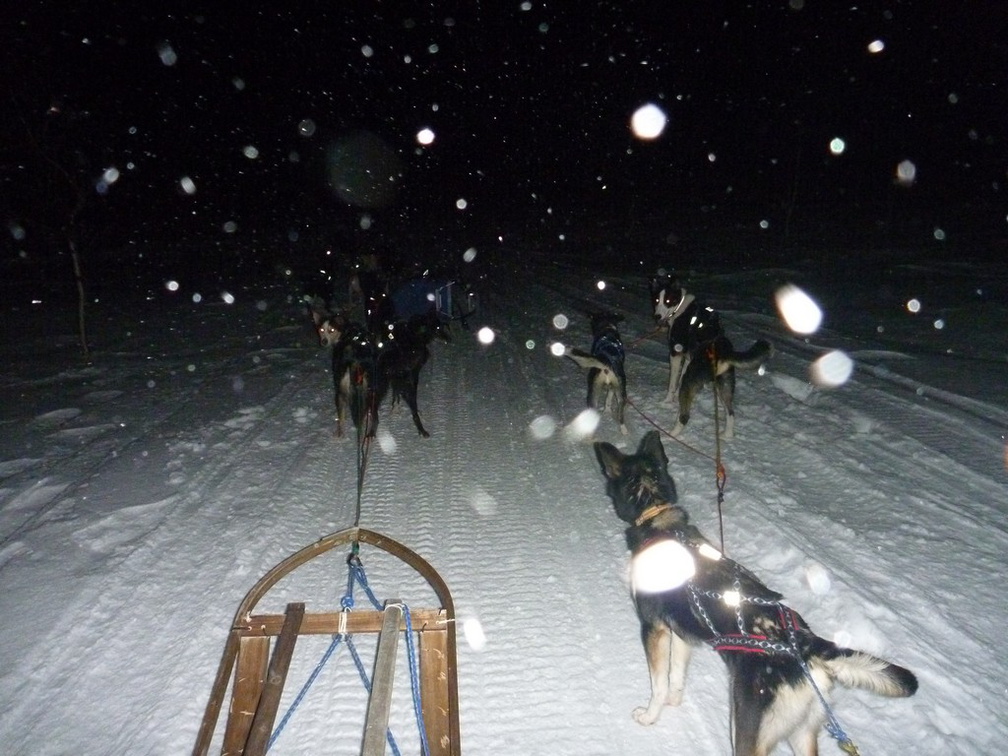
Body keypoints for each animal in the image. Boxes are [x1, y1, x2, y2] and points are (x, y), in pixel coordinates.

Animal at [592, 431, 919, 756]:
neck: (655, 512)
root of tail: (807, 645)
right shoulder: (682, 633)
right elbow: (676, 676)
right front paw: (675, 701)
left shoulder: (653, 629)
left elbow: (658, 684)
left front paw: (650, 716)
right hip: (802, 733)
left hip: (744, 729)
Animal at [653, 270, 770, 437]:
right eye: (657, 299)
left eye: (668, 300)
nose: (656, 316)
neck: (680, 306)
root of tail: (723, 351)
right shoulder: (688, 357)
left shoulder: (676, 353)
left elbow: (673, 382)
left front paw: (668, 401)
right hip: (724, 386)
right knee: (730, 413)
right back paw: (726, 436)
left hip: (693, 381)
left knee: (685, 416)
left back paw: (671, 433)